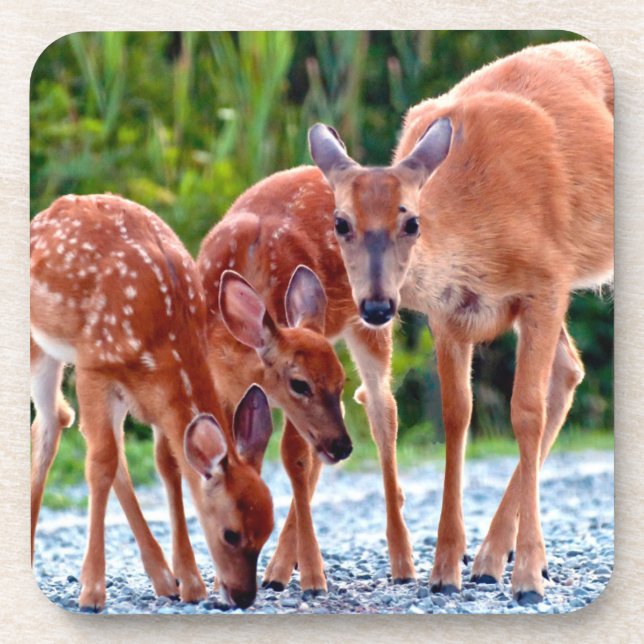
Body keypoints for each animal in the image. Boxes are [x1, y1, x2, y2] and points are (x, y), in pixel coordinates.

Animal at [30, 194, 275, 611]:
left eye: (268, 530)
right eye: (230, 533)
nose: (243, 596)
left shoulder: (154, 396)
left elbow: (168, 466)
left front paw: (190, 582)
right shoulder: (94, 365)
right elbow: (100, 465)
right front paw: (91, 591)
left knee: (70, 428)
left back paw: (163, 578)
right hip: (42, 346)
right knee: (56, 425)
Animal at [196, 168, 417, 594]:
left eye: (339, 378)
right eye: (300, 383)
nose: (343, 447)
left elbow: (294, 460)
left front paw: (314, 577)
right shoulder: (223, 385)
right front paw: (221, 578)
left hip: (371, 317)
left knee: (382, 410)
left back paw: (402, 562)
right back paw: (281, 568)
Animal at [308, 40, 613, 604]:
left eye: (412, 221)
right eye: (340, 223)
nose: (377, 307)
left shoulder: (547, 282)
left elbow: (525, 412)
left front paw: (528, 576)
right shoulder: (447, 314)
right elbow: (457, 415)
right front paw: (446, 568)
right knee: (570, 371)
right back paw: (490, 558)